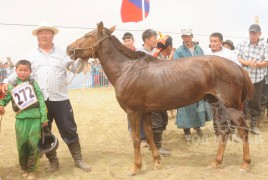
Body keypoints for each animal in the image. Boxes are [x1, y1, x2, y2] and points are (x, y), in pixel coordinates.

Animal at [66, 21, 253, 175]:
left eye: (87, 35)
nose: (68, 48)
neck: (126, 69)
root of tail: (236, 65)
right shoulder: (145, 112)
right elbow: (149, 135)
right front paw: (156, 161)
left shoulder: (133, 112)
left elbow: (136, 138)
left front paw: (136, 167)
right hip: (217, 106)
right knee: (224, 131)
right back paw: (216, 161)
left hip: (231, 106)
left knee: (243, 130)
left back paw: (245, 163)